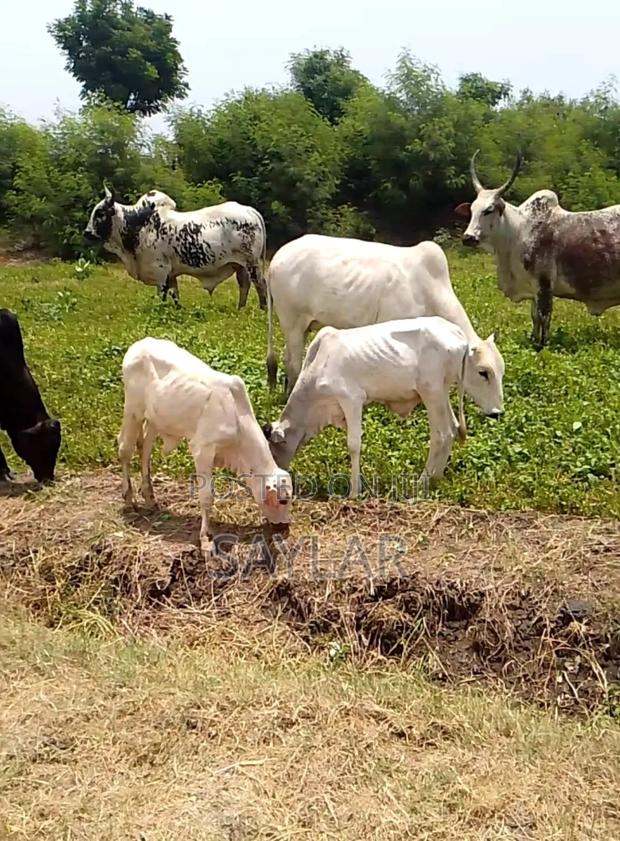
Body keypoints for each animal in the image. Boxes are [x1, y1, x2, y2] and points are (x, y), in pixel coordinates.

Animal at [84, 187, 268, 309]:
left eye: (100, 213)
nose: (87, 232)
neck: (138, 224)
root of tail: (249, 209)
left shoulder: (160, 270)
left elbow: (163, 294)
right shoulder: (171, 274)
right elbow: (175, 295)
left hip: (251, 263)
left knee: (260, 284)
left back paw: (263, 308)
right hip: (239, 265)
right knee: (244, 285)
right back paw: (240, 309)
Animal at [118, 337, 293, 557]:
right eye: (283, 500)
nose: (285, 527)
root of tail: (140, 344)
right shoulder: (202, 449)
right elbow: (206, 497)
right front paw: (206, 538)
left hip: (154, 420)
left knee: (145, 449)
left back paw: (149, 496)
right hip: (132, 410)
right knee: (125, 449)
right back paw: (128, 499)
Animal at [263, 316, 504, 496]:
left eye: (272, 448)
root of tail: (457, 334)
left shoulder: (352, 399)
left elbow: (353, 444)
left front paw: (354, 491)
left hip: (431, 392)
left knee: (442, 434)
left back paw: (422, 482)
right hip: (441, 393)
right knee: (453, 428)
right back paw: (437, 477)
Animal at [265, 234, 501, 395]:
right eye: (484, 372)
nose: (497, 413)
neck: (429, 287)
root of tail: (276, 258)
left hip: (302, 327)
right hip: (293, 324)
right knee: (293, 363)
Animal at [456, 150, 620, 348]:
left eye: (488, 210)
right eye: (472, 209)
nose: (468, 237)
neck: (517, 231)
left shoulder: (544, 284)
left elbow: (544, 316)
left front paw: (542, 344)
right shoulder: (533, 288)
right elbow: (534, 316)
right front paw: (533, 340)